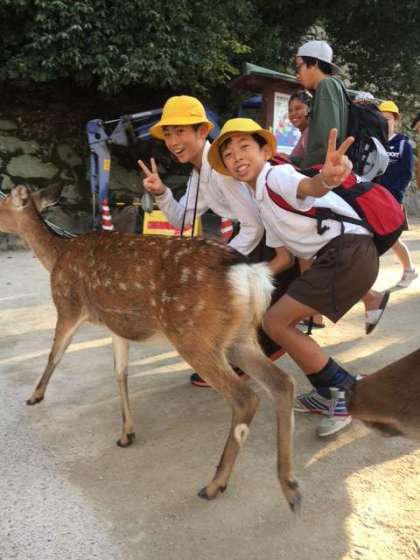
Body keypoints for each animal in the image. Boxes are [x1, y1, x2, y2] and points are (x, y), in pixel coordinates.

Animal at [0, 184, 300, 510]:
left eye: (0, 205)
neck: (56, 256)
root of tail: (250, 275)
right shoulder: (116, 326)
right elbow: (120, 372)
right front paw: (126, 434)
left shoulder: (67, 305)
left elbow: (55, 353)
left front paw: (35, 396)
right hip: (239, 337)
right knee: (282, 382)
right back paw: (290, 486)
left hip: (193, 334)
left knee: (245, 397)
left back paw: (214, 485)